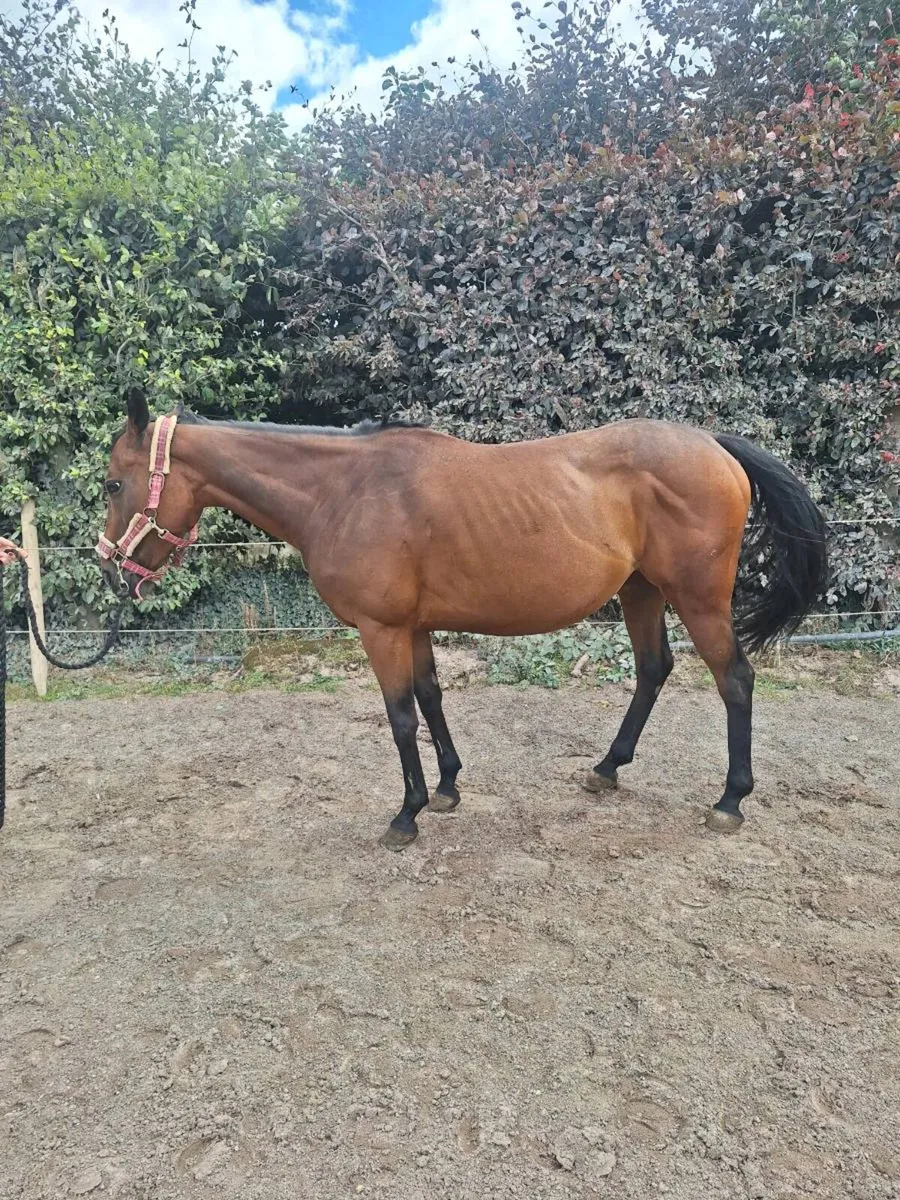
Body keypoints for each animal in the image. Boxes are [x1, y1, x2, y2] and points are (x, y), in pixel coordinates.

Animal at [98, 388, 828, 851]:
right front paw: (447, 787)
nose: (110, 569)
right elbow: (430, 698)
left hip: (698, 598)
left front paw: (407, 814)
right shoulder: (414, 627)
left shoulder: (383, 630)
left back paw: (730, 800)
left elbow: (399, 716)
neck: (343, 491)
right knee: (654, 669)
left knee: (734, 678)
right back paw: (607, 768)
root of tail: (711, 442)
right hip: (642, 591)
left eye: (112, 483)